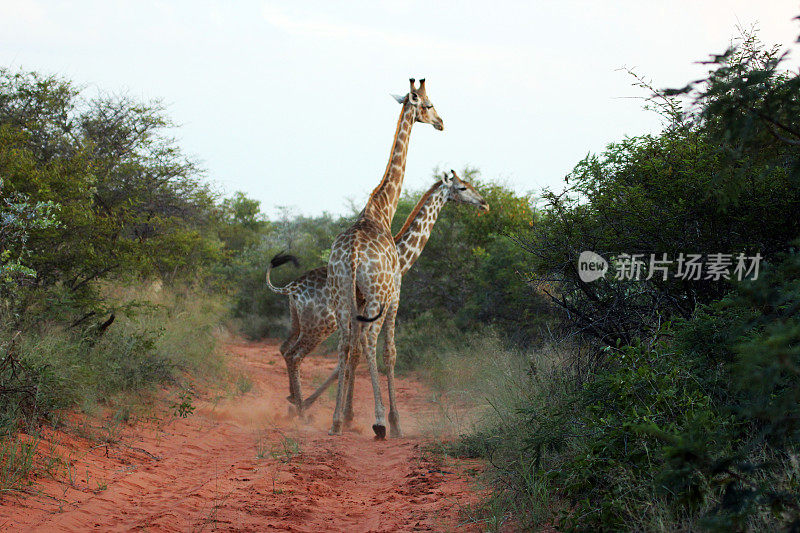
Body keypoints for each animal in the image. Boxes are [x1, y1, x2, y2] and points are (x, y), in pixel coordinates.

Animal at [268, 168, 488, 418]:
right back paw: (302, 411)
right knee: (295, 355)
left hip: (300, 322)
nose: (483, 203)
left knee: (285, 349)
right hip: (319, 325)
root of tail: (290, 288)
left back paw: (294, 401)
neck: (400, 256)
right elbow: (358, 356)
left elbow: (348, 360)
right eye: (463, 187)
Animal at [326, 78, 444, 436]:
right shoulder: (394, 297)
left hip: (341, 295)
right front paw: (394, 420)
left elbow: (351, 349)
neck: (382, 209)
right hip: (377, 297)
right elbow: (391, 352)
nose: (441, 123)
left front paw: (348, 414)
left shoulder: (360, 298)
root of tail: (352, 254)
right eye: (428, 104)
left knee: (345, 342)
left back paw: (335, 421)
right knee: (368, 339)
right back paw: (379, 422)